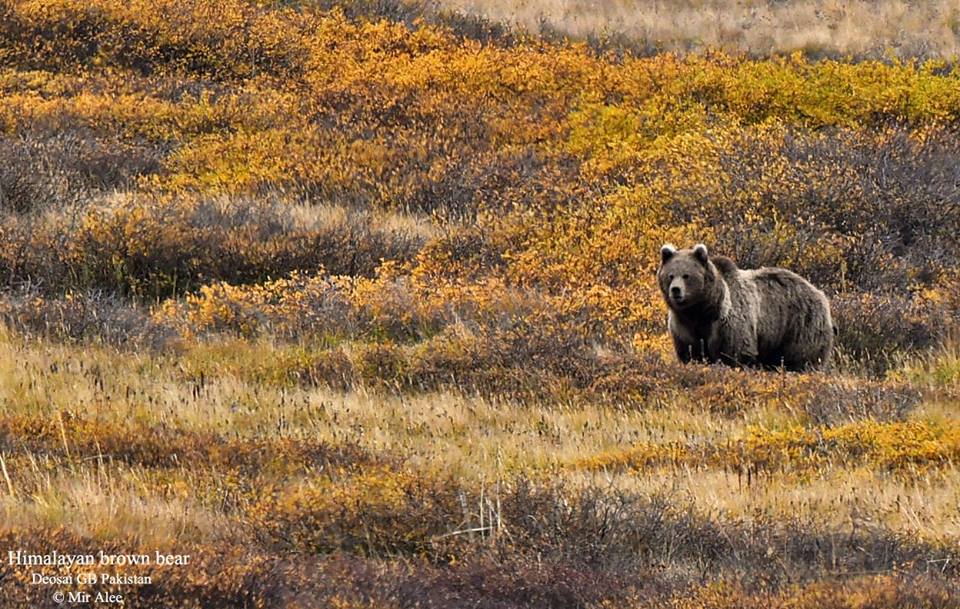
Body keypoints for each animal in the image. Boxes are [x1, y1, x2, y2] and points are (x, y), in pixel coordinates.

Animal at [656, 243, 836, 370]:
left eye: (686, 275)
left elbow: (736, 353)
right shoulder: (683, 327)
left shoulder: (728, 323)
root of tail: (818, 292)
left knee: (803, 355)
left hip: (800, 323)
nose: (676, 290)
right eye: (670, 275)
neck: (702, 310)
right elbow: (690, 352)